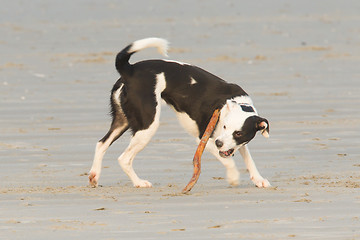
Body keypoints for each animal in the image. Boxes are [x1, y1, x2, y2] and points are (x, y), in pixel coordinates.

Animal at [89, 37, 270, 188]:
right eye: (225, 126)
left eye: (239, 133)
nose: (219, 143)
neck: (237, 103)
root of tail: (130, 70)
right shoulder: (205, 139)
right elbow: (229, 162)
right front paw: (233, 178)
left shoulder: (232, 143)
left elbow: (248, 159)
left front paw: (259, 179)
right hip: (147, 125)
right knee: (124, 158)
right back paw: (139, 182)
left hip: (123, 121)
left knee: (101, 144)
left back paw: (94, 176)